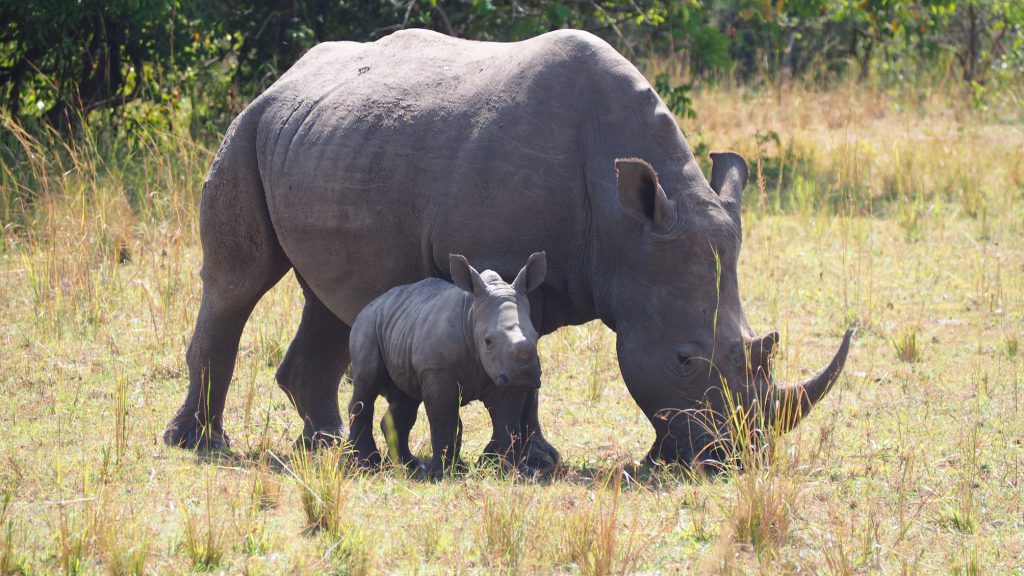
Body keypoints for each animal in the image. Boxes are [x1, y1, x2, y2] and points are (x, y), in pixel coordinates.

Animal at [348, 253, 546, 478]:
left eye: (536, 336)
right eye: (488, 341)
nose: (524, 376)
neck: (471, 313)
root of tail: (370, 304)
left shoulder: (504, 373)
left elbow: (508, 421)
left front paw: (514, 472)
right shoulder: (437, 369)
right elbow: (444, 418)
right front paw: (440, 475)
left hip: (400, 325)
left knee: (406, 399)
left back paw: (408, 466)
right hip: (367, 323)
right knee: (367, 386)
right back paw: (365, 465)